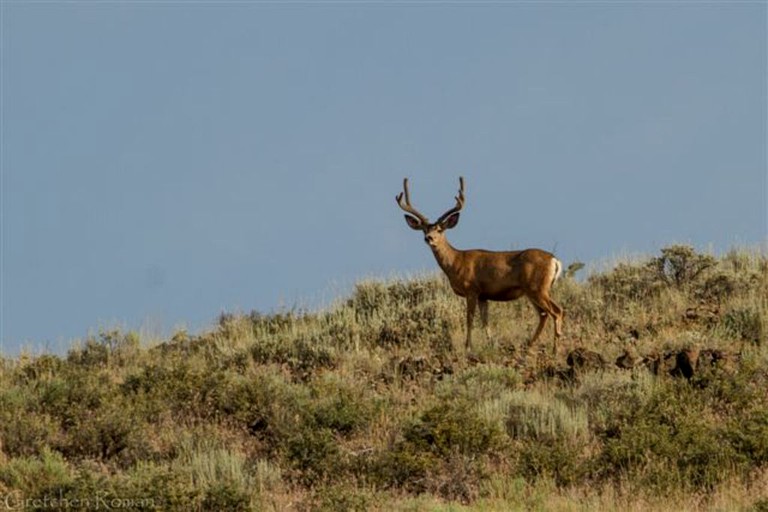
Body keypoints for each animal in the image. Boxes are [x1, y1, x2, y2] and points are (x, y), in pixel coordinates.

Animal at [396, 176, 564, 352]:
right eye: (424, 229)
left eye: (440, 230)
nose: (428, 238)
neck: (456, 262)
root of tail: (554, 260)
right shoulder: (484, 295)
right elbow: (485, 321)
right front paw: (491, 343)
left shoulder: (471, 289)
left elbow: (469, 318)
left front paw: (468, 346)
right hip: (533, 290)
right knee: (544, 314)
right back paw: (530, 345)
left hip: (537, 287)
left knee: (557, 311)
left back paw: (555, 348)